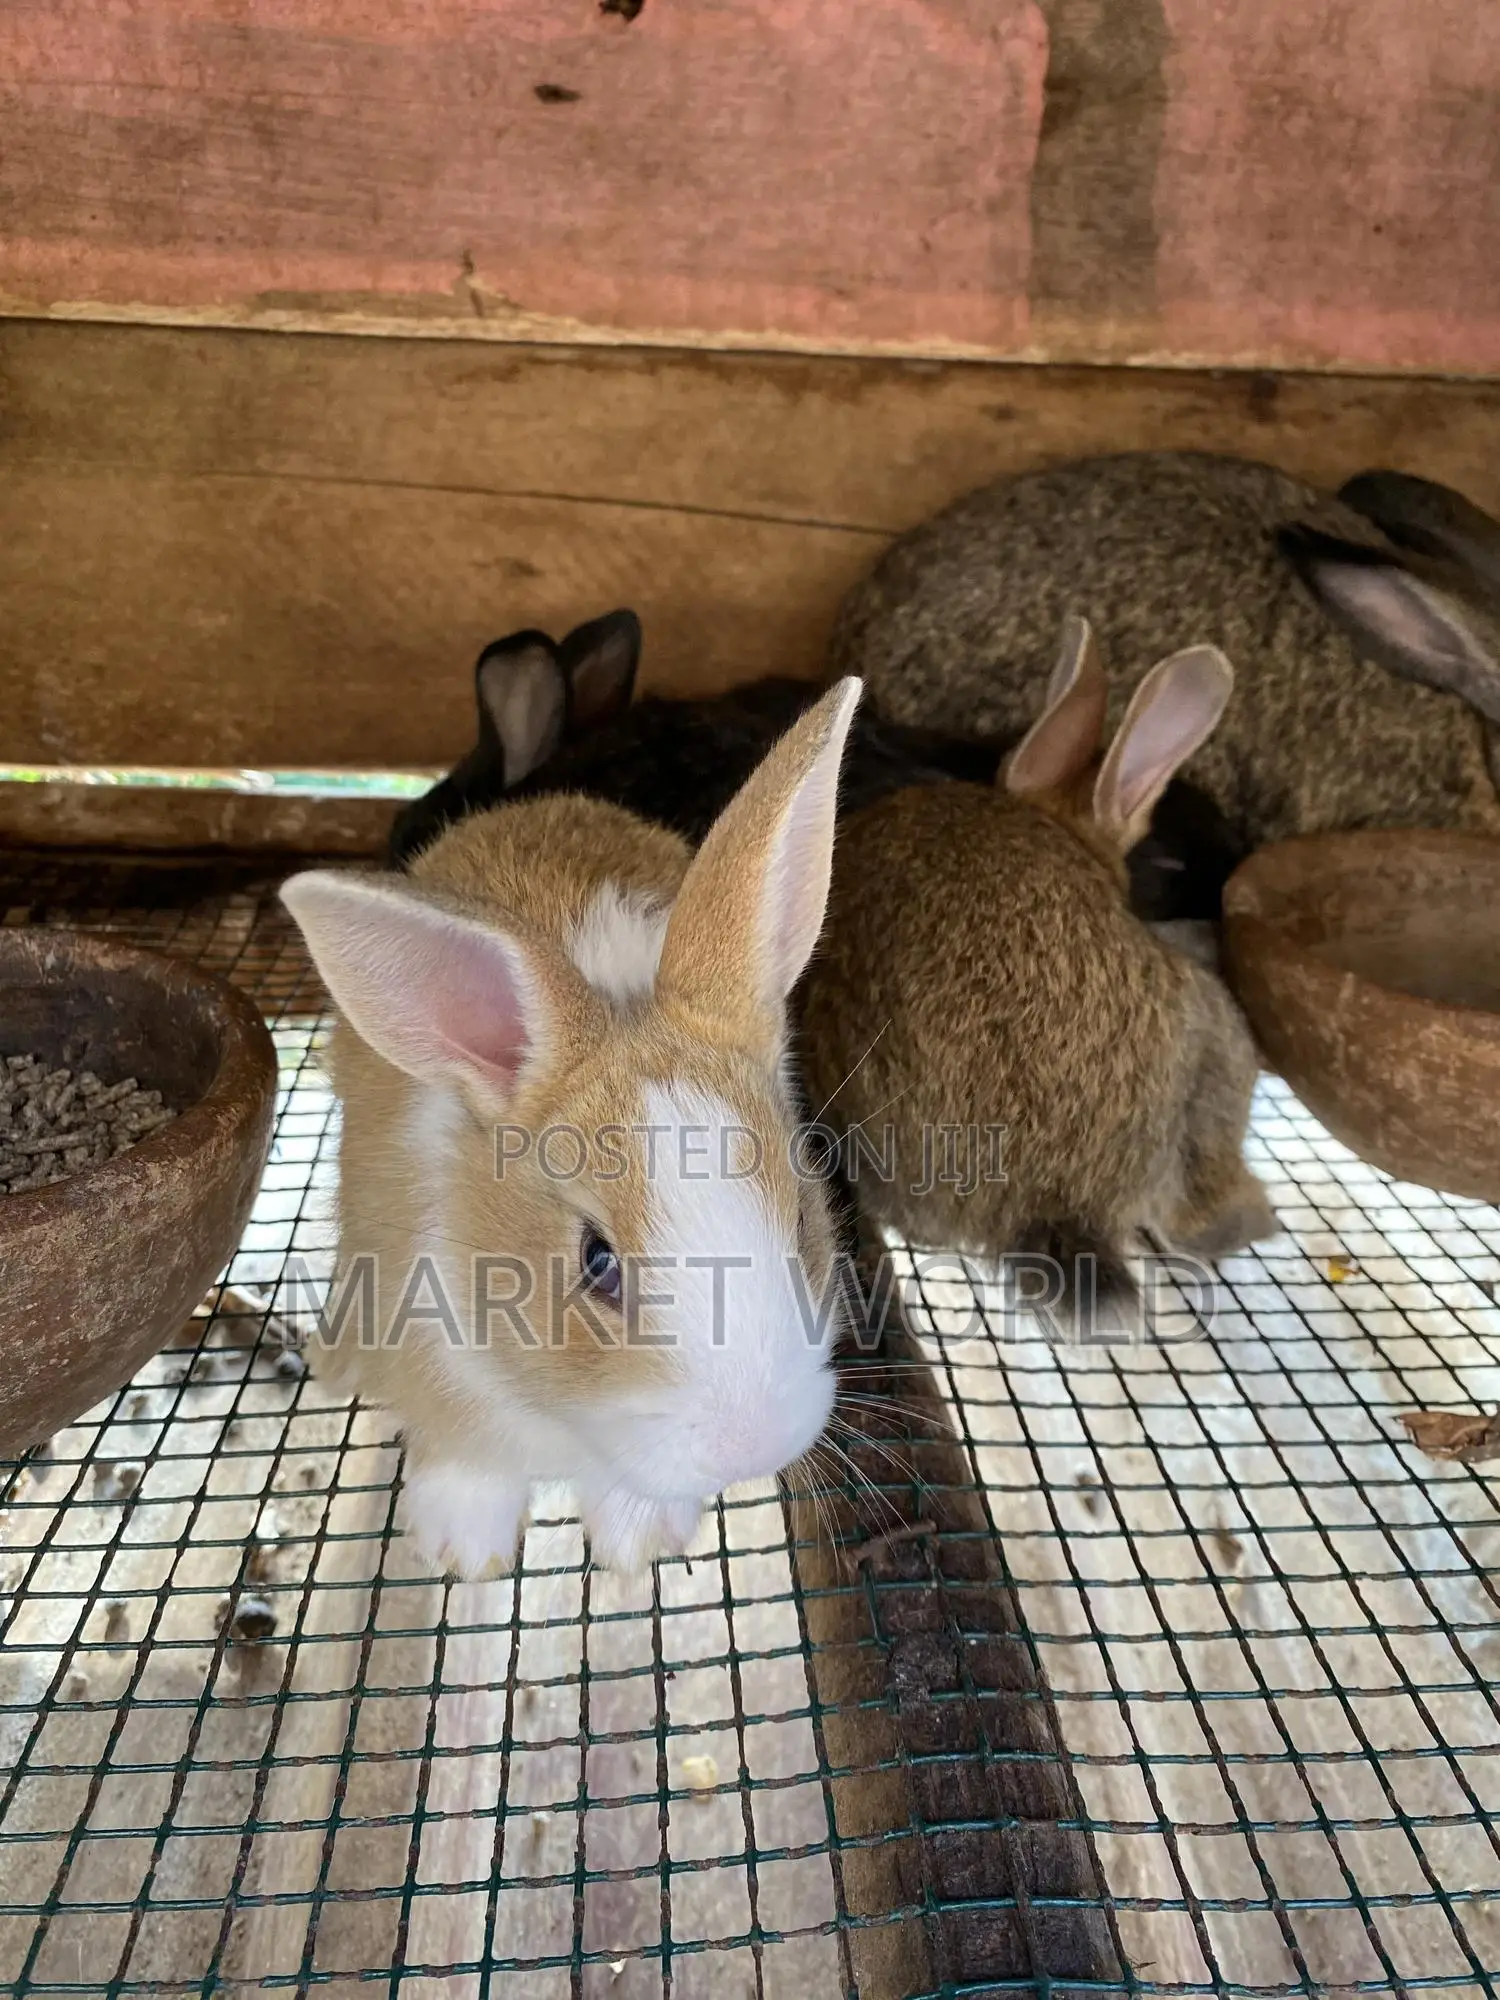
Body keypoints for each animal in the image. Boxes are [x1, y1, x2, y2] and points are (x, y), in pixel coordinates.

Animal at [280, 679, 864, 1579]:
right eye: (596, 1263)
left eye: (804, 1215)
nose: (752, 1447)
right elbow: (464, 1453)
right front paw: (462, 1551)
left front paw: (640, 1541)